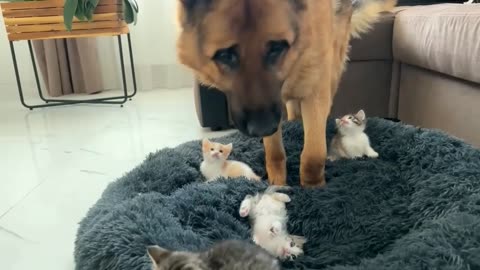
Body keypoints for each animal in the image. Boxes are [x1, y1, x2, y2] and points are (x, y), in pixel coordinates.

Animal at [176, 0, 398, 187]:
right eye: (225, 55)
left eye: (277, 47)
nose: (262, 128)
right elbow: (274, 152)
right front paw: (278, 182)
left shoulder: (315, 89)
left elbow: (314, 153)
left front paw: (313, 189)